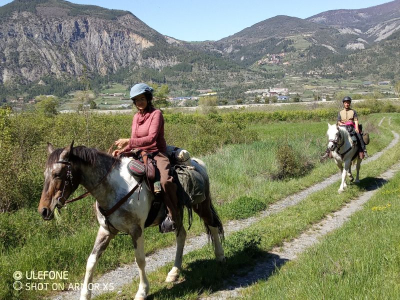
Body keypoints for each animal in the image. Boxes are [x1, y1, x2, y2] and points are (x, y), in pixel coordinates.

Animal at [37, 142, 225, 300]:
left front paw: (142, 292)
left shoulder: (136, 230)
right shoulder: (106, 230)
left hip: (201, 206)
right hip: (176, 214)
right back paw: (174, 272)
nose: (44, 210)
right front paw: (85, 295)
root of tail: (198, 163)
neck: (114, 188)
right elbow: (91, 261)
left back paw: (220, 257)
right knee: (182, 235)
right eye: (45, 174)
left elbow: (140, 260)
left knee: (213, 226)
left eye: (57, 174)